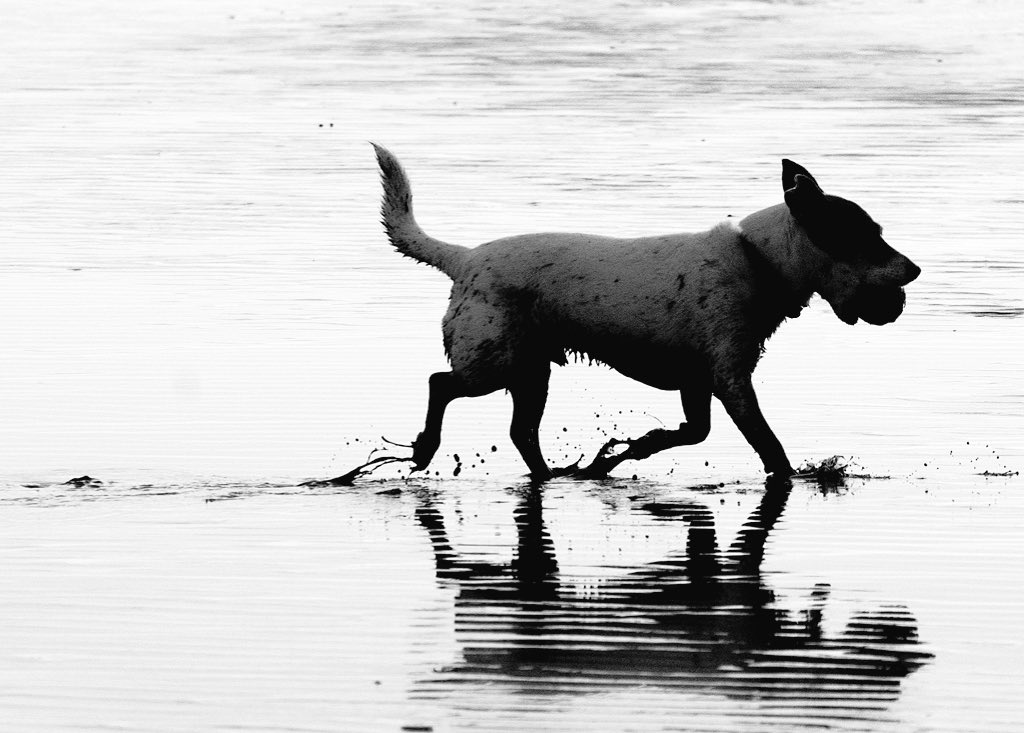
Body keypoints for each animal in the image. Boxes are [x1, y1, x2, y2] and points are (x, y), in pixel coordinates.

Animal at [368, 147, 921, 481]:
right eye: (865, 234)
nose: (915, 270)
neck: (758, 260)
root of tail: (461, 258)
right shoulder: (731, 378)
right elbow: (768, 446)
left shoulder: (698, 381)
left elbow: (692, 433)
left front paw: (626, 451)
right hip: (492, 360)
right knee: (441, 384)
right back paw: (425, 448)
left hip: (532, 371)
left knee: (520, 431)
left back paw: (556, 474)